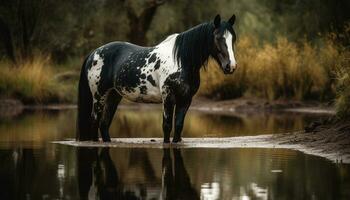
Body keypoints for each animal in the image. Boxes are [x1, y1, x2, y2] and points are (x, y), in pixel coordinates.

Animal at [76, 13, 238, 142]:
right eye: (218, 38)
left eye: (233, 39)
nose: (231, 66)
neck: (180, 60)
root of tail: (94, 53)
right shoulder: (168, 96)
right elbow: (166, 126)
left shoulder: (186, 99)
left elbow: (178, 126)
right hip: (99, 96)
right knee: (95, 121)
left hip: (113, 95)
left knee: (104, 124)